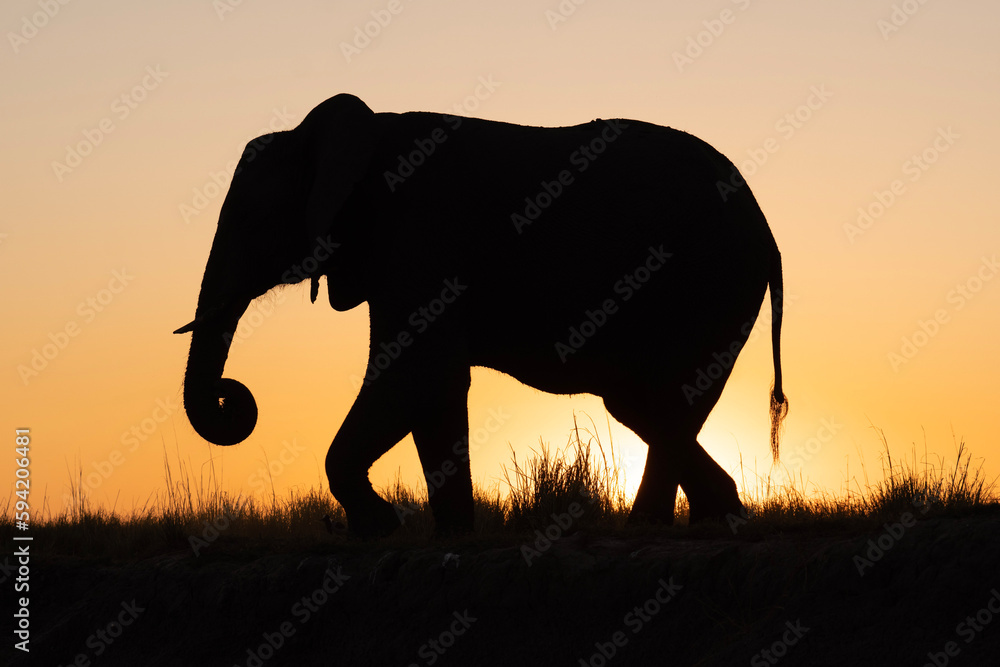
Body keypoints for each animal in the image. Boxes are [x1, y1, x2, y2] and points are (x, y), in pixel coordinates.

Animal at [175, 93, 788, 538]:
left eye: (252, 220)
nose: (232, 395)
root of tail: (768, 229)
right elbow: (435, 390)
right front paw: (452, 537)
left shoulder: (420, 240)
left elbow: (418, 374)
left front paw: (380, 528)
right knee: (648, 401)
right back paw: (708, 520)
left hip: (707, 279)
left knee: (658, 398)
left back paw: (659, 529)